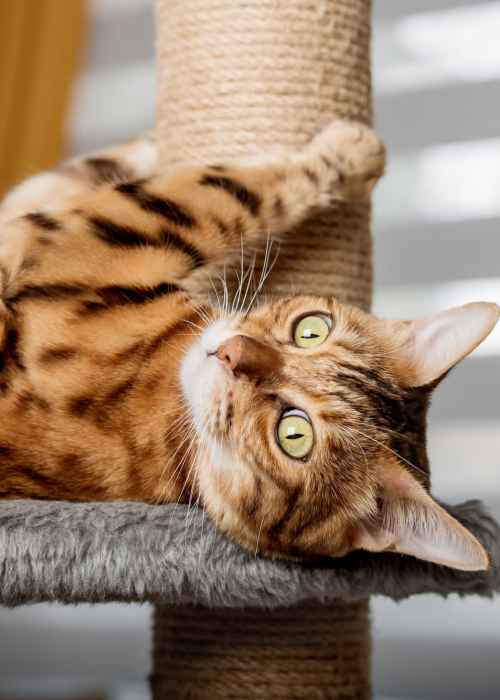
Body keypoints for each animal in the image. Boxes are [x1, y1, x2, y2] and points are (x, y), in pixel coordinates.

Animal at [0, 119, 498, 568]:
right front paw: (145, 145)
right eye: (311, 330)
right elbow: (57, 180)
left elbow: (238, 190)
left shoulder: (99, 237)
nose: (232, 351)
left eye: (294, 435)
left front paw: (353, 151)